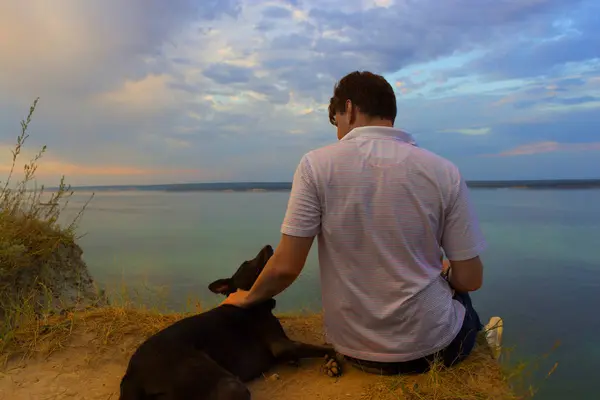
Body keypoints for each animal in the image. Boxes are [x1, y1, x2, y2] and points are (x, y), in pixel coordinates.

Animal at [120, 245, 342, 398]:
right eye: (246, 263)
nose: (268, 246)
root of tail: (132, 375)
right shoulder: (282, 345)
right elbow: (326, 347)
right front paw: (335, 359)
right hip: (228, 384)